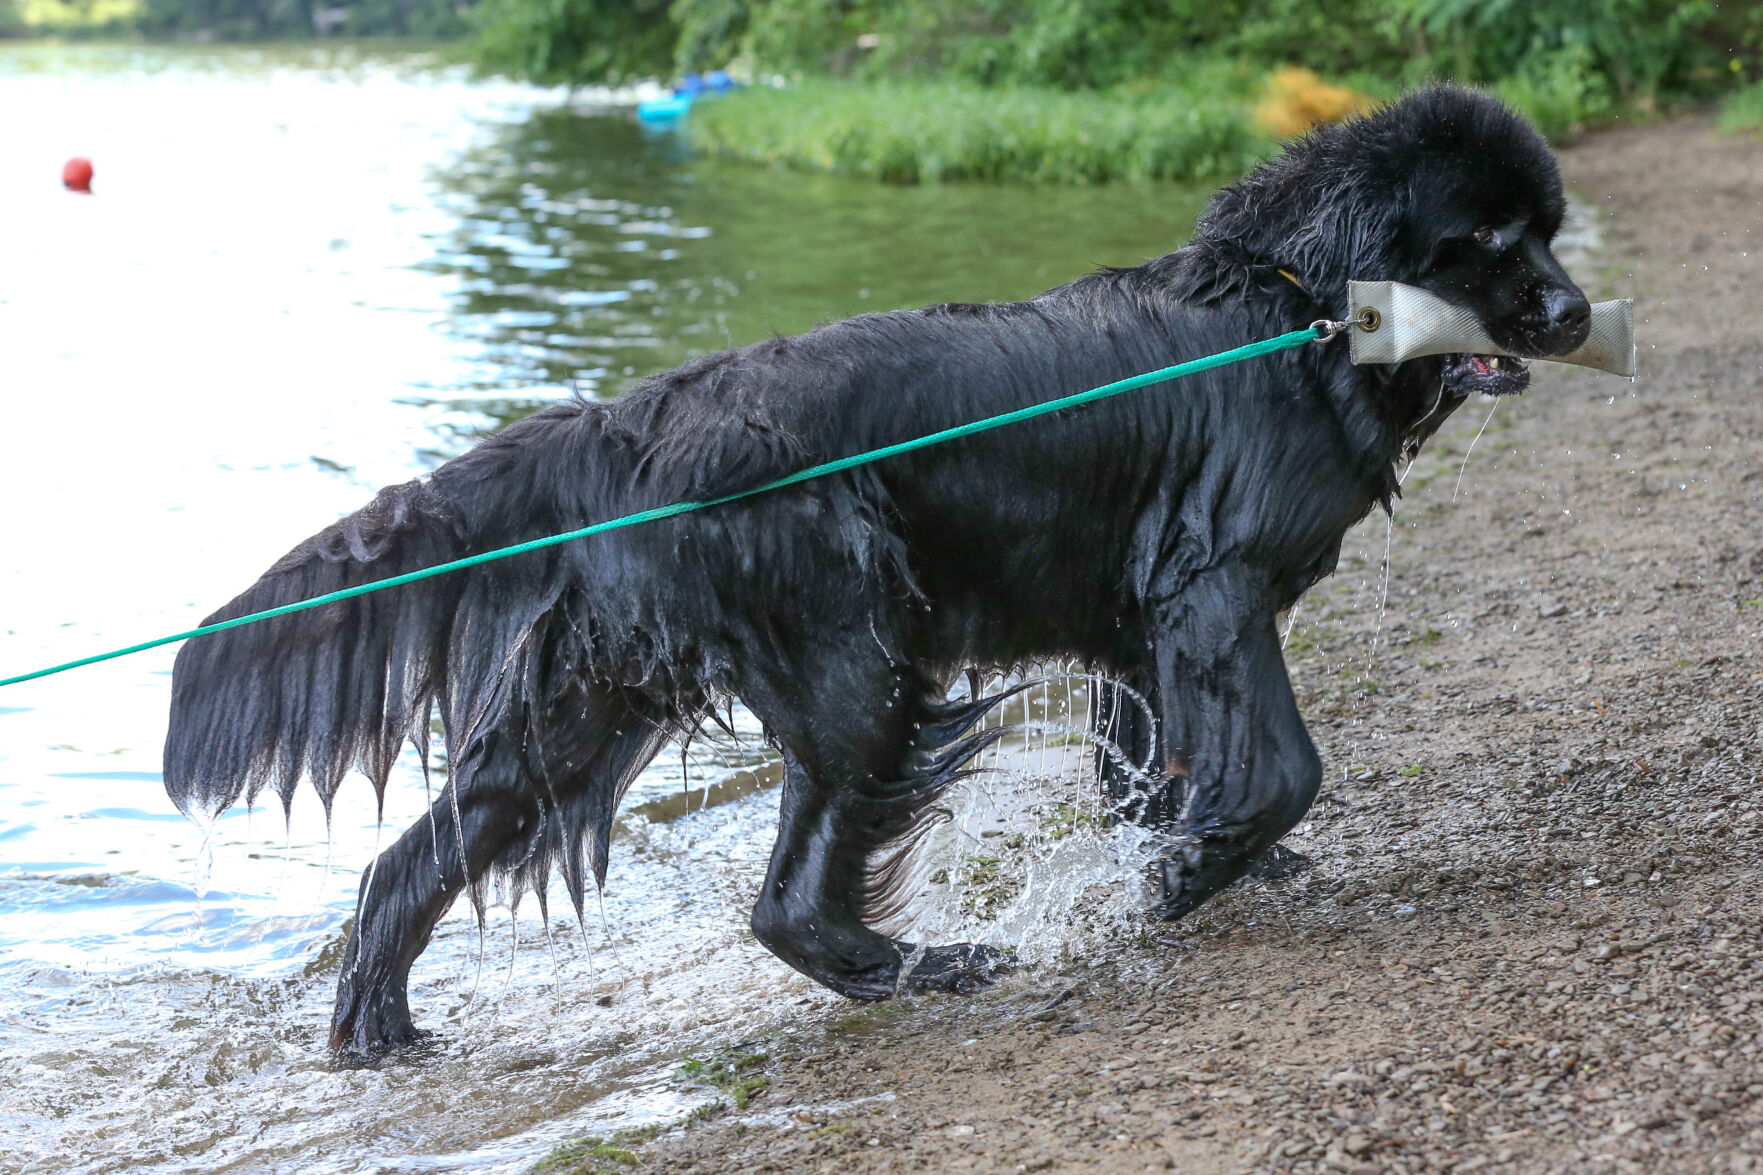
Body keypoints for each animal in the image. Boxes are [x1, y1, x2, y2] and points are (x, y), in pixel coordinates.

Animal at [168, 84, 1600, 1051]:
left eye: (1545, 228)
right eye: (1485, 238)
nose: (1574, 310)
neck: (1292, 310)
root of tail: (624, 423)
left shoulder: (1143, 627)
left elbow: (1151, 769)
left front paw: (1177, 851)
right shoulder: (1211, 588)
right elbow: (1283, 769)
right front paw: (1179, 878)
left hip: (592, 699)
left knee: (411, 858)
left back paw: (376, 1028)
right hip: (858, 658)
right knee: (785, 902)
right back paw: (923, 967)